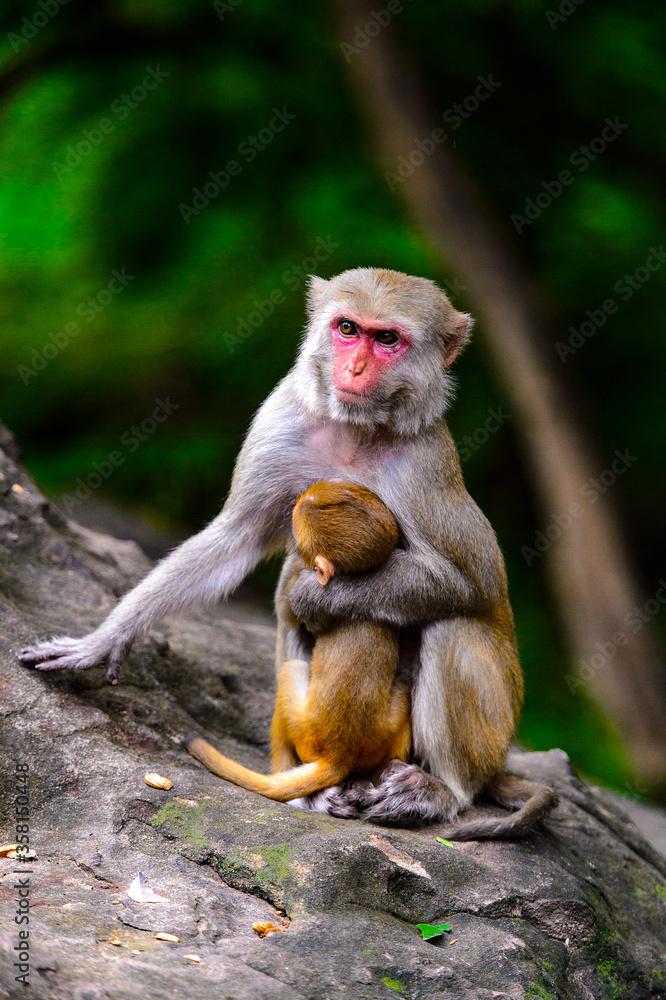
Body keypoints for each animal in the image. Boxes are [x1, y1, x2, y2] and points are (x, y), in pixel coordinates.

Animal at [185, 480, 411, 813]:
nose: (298, 499)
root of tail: (338, 757)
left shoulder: (302, 586)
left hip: (306, 731)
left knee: (292, 670)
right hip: (381, 736)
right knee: (405, 687)